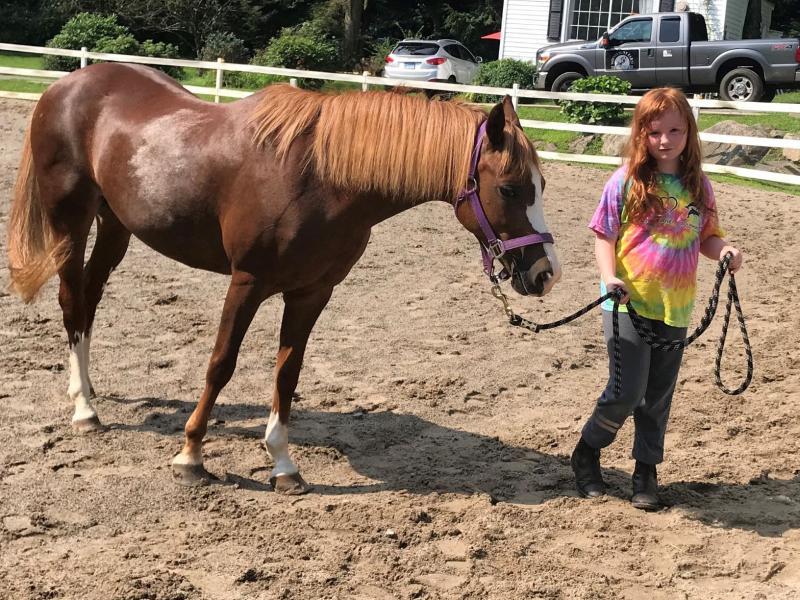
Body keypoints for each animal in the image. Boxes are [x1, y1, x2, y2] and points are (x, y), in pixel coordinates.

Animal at [7, 62, 561, 494]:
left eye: (541, 185)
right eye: (510, 189)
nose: (545, 273)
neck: (322, 179)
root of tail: (66, 86)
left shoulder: (312, 292)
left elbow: (287, 373)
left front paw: (284, 465)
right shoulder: (247, 282)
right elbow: (221, 364)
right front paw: (190, 457)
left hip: (116, 224)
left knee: (90, 296)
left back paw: (89, 392)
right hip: (69, 222)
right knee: (71, 299)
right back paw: (84, 411)